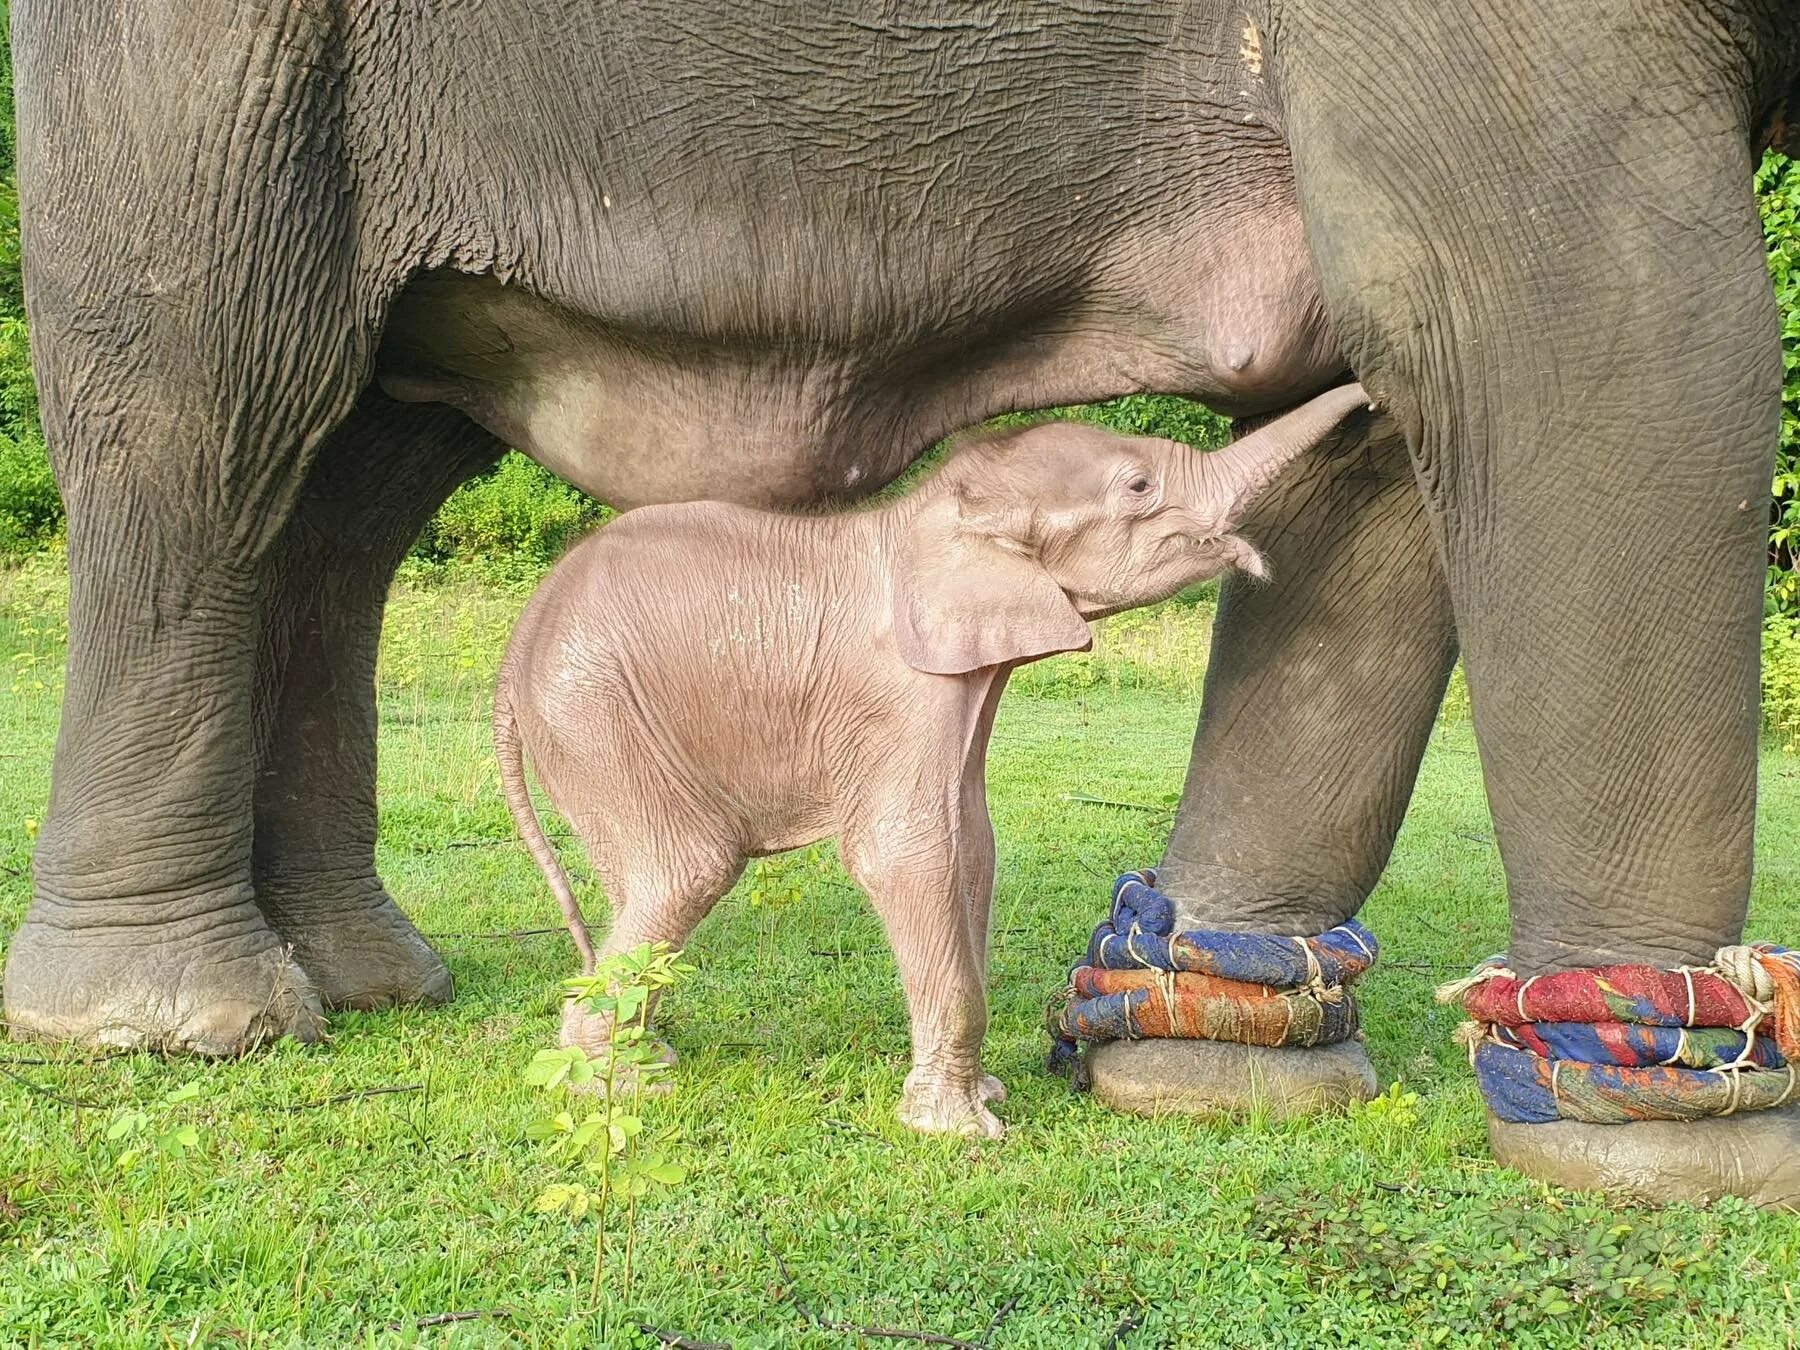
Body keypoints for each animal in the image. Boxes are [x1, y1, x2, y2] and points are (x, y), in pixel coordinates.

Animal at [493, 381, 1360, 1144]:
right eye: (1140, 486)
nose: (1368, 396)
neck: (938, 513)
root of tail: (518, 643)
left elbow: (973, 846)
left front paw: (986, 1095)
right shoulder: (903, 691)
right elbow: (908, 852)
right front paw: (964, 1131)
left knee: (641, 881)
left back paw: (640, 1056)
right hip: (592, 708)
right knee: (686, 870)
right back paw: (622, 1082)